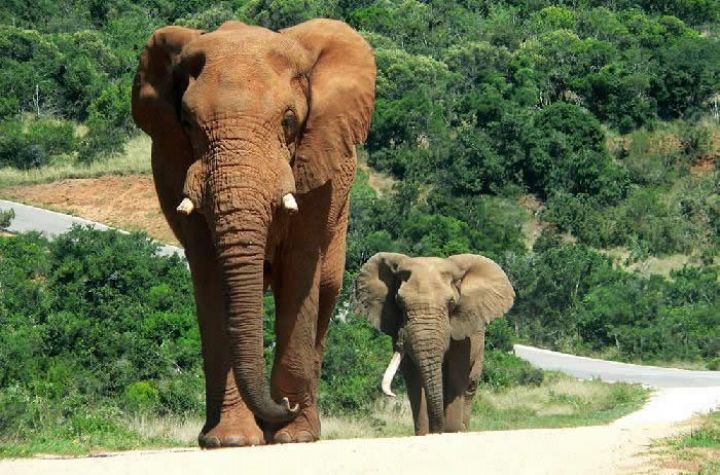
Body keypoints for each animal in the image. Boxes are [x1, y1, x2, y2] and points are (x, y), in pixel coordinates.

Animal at [131, 19, 376, 447]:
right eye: (188, 124)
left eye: (289, 122)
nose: (284, 406)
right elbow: (212, 280)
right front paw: (230, 441)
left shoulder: (317, 174)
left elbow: (299, 272)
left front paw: (293, 436)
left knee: (326, 290)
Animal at [353, 253, 514, 435]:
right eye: (399, 302)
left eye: (451, 303)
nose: (438, 430)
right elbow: (414, 380)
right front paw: (426, 433)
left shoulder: (462, 334)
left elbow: (455, 377)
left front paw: (450, 432)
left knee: (469, 387)